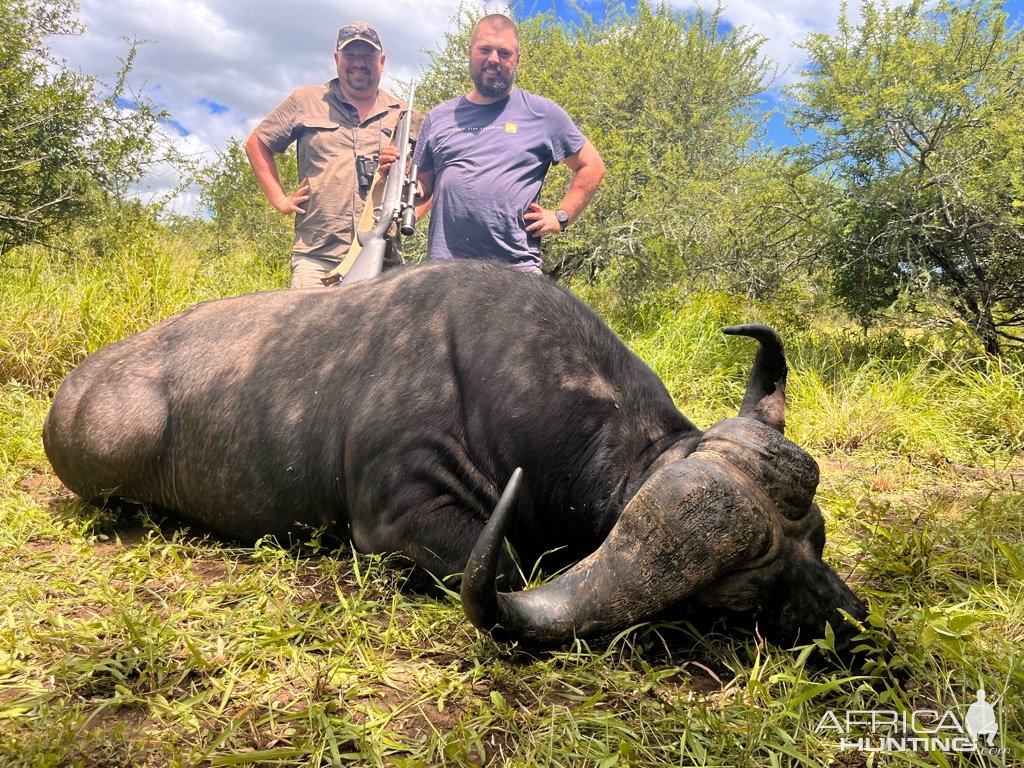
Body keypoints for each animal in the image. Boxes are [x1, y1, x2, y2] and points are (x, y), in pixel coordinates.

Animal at [44, 262, 868, 659]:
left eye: (819, 539)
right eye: (740, 598)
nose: (854, 622)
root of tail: (75, 390)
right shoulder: (399, 524)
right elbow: (507, 565)